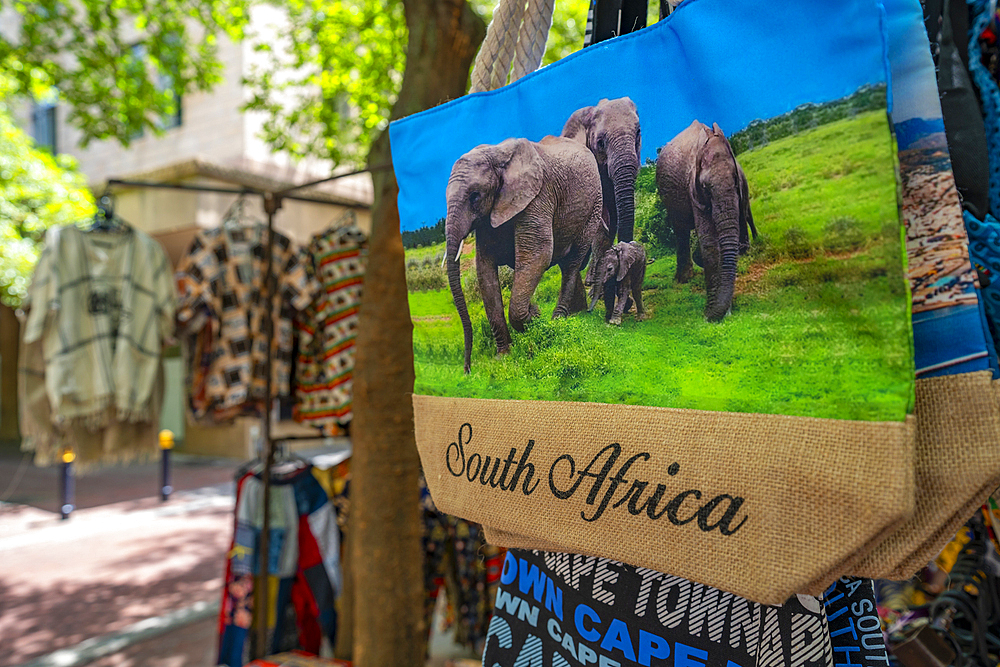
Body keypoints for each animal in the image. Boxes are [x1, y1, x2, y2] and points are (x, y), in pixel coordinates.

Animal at [448, 138, 600, 374]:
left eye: (475, 196)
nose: (467, 370)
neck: (497, 154)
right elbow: (485, 271)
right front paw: (503, 357)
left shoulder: (538, 197)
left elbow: (537, 255)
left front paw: (534, 314)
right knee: (568, 265)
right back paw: (577, 313)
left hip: (593, 208)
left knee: (572, 263)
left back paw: (558, 320)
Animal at [656, 120, 756, 324]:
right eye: (706, 188)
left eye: (735, 181)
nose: (706, 316)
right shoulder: (693, 189)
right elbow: (709, 244)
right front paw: (714, 310)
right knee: (681, 230)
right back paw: (683, 279)